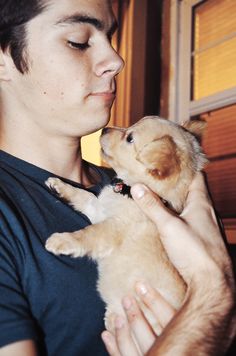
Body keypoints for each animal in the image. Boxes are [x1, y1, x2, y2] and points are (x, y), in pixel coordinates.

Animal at [45, 115, 207, 332]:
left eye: (129, 138)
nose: (104, 129)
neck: (128, 193)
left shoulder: (111, 228)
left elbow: (87, 233)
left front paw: (61, 240)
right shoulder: (97, 208)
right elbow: (82, 195)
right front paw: (59, 185)